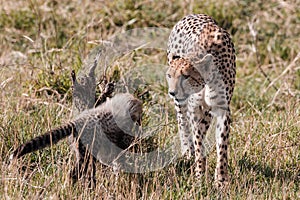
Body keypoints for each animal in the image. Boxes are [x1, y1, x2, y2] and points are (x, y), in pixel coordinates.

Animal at [165, 14, 236, 186]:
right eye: (169, 75)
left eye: (186, 76)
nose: (172, 92)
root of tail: (191, 15)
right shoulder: (195, 109)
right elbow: (198, 141)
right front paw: (199, 176)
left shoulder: (222, 109)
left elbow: (222, 144)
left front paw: (221, 179)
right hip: (183, 107)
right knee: (182, 120)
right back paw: (187, 152)